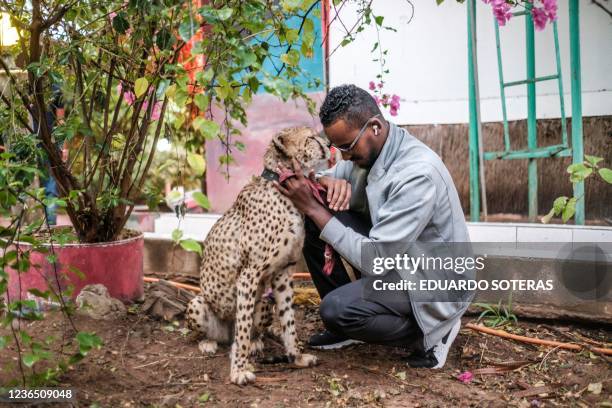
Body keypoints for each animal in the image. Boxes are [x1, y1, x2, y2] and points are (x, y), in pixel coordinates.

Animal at [186, 126, 330, 386]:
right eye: (311, 138)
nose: (329, 144)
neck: (284, 191)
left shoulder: (283, 272)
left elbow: (288, 321)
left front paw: (296, 356)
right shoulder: (249, 275)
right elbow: (242, 329)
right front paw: (239, 371)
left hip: (263, 303)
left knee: (254, 329)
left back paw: (255, 342)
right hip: (197, 302)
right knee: (220, 334)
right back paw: (209, 343)